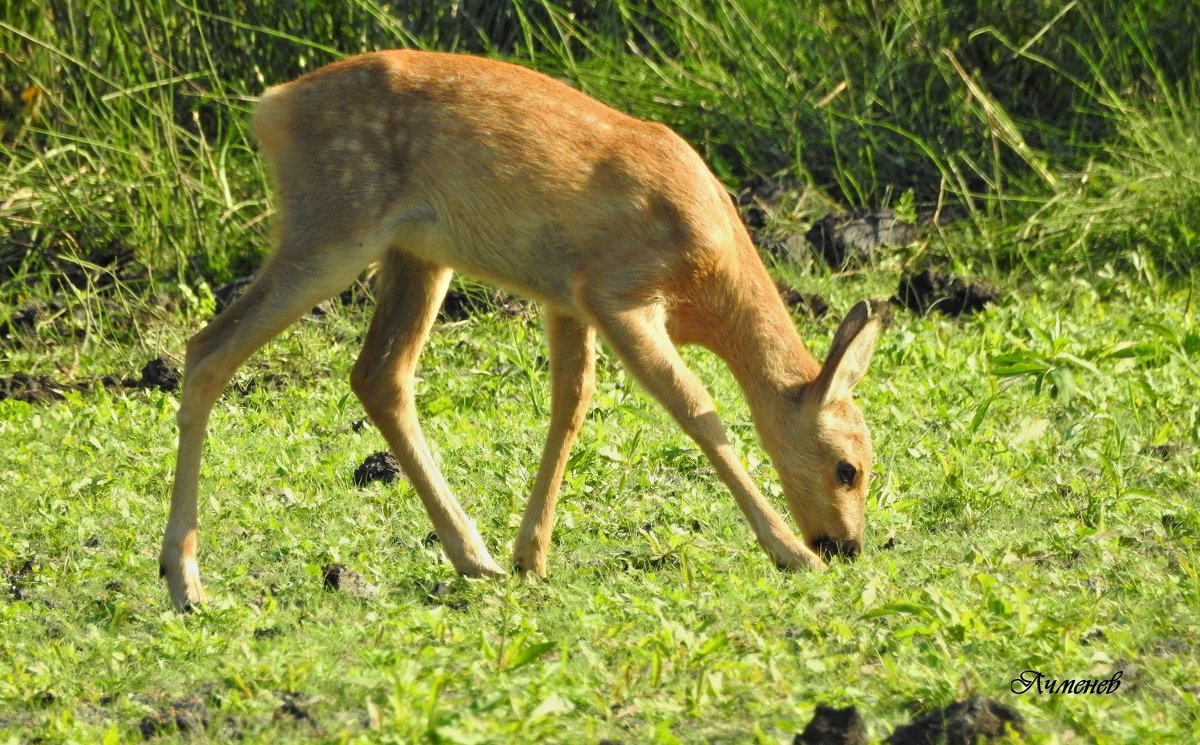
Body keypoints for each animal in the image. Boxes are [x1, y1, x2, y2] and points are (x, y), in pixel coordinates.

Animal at [159, 52, 888, 609]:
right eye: (847, 467)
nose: (846, 546)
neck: (707, 279)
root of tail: (270, 107)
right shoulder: (617, 292)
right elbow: (699, 411)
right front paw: (790, 554)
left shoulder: (567, 299)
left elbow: (571, 405)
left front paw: (530, 555)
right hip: (333, 230)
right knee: (207, 349)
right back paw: (184, 581)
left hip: (416, 256)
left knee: (379, 376)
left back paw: (474, 556)